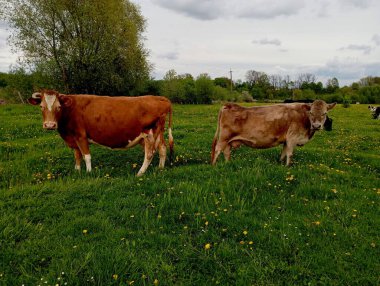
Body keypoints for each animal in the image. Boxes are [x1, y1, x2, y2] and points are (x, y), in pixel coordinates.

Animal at [28, 89, 174, 175]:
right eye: (41, 106)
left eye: (58, 107)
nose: (49, 125)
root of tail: (160, 98)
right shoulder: (73, 138)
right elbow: (77, 155)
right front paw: (77, 170)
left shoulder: (81, 136)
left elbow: (86, 156)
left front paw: (88, 172)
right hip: (157, 134)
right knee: (162, 148)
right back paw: (160, 168)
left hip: (149, 134)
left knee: (149, 154)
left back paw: (140, 173)